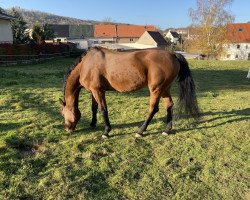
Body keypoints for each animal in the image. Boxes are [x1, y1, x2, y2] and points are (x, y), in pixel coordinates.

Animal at [59, 46, 200, 138]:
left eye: (63, 113)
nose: (67, 129)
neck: (87, 64)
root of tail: (172, 54)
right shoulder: (94, 91)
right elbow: (94, 108)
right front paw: (92, 124)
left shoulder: (98, 91)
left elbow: (103, 110)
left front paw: (106, 131)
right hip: (165, 88)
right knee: (169, 105)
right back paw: (167, 130)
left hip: (156, 89)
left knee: (153, 109)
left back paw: (141, 131)